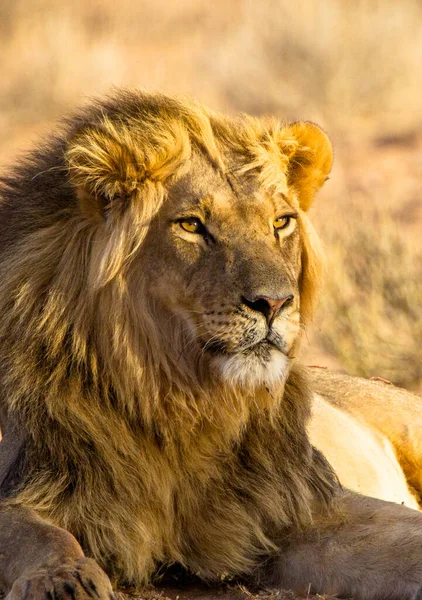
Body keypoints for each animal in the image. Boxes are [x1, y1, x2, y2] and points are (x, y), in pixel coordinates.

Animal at [0, 90, 422, 600]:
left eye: (281, 222)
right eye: (191, 225)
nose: (274, 302)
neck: (181, 404)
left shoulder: (295, 503)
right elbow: (33, 532)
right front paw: (64, 580)